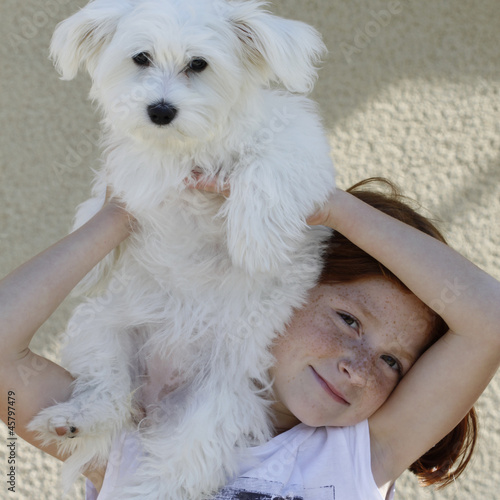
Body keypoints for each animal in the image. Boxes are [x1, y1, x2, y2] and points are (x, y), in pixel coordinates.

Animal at [30, 0, 336, 498]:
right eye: (140, 58)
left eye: (199, 64)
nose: (159, 110)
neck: (188, 145)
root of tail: (158, 395)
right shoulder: (132, 171)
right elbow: (108, 196)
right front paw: (94, 258)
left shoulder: (296, 144)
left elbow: (267, 166)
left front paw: (256, 242)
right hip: (100, 328)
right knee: (108, 393)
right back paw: (75, 420)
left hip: (215, 403)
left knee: (181, 464)